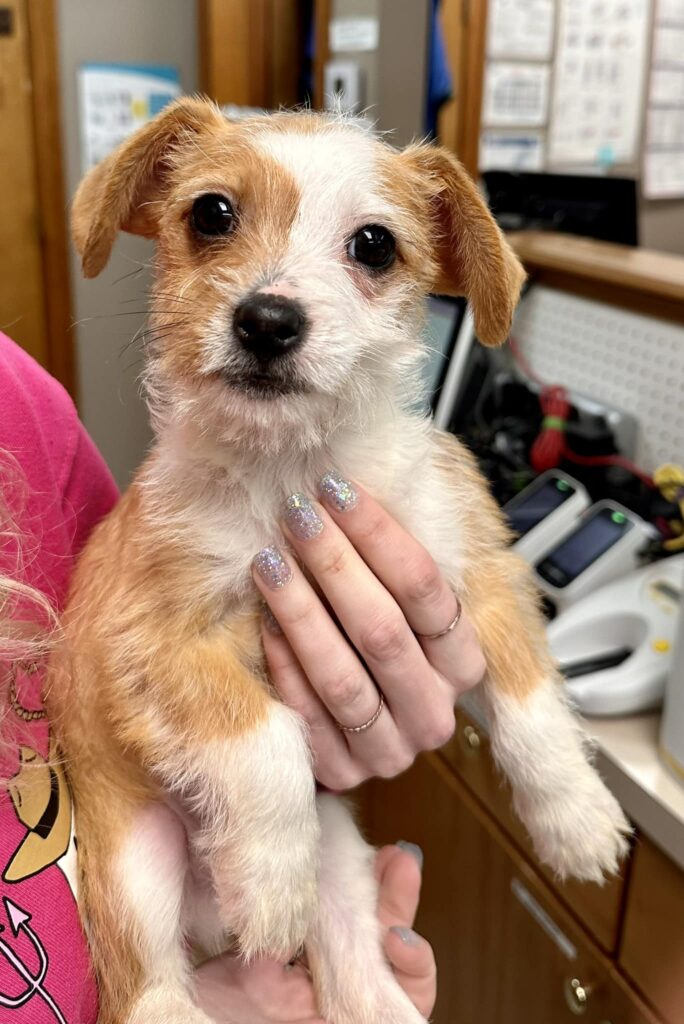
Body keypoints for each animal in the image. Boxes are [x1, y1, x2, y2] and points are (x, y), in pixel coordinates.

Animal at [50, 97, 630, 1024]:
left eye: (374, 245)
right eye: (212, 213)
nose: (266, 321)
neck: (295, 471)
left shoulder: (477, 577)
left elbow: (530, 701)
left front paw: (575, 817)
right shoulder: (151, 644)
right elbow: (266, 738)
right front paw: (270, 883)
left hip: (347, 873)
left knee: (360, 977)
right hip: (136, 873)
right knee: (152, 991)